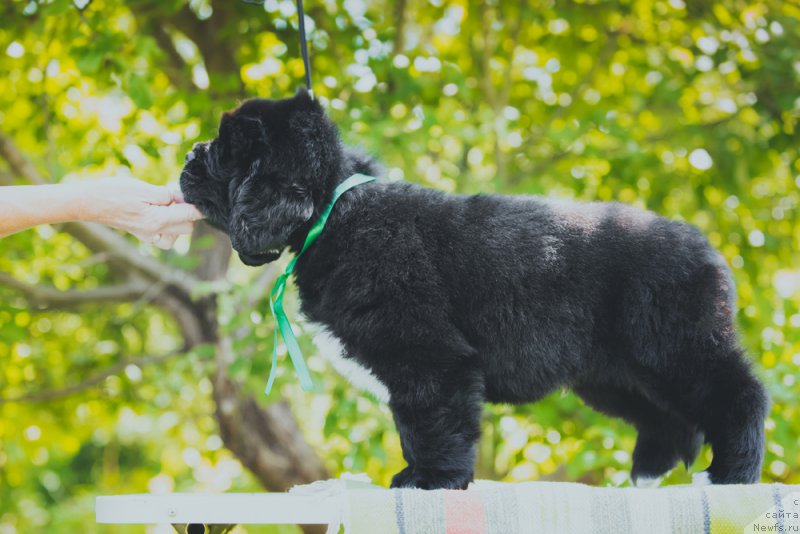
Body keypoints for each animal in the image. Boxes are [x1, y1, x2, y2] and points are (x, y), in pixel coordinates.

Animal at [181, 90, 768, 492]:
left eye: (226, 151)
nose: (188, 153)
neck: (333, 211)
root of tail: (707, 248)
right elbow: (411, 423)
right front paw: (418, 473)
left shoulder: (428, 355)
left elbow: (431, 422)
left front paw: (431, 480)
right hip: (613, 374)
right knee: (666, 417)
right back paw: (647, 472)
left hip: (674, 345)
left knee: (738, 394)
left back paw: (732, 473)